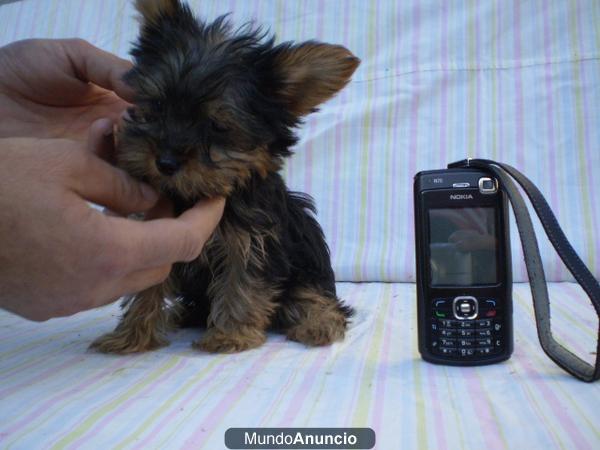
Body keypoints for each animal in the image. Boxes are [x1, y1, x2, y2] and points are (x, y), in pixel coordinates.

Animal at [91, 0, 358, 354]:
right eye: (158, 105)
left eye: (217, 126)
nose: (165, 162)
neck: (189, 194)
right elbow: (148, 284)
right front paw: (131, 335)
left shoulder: (252, 242)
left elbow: (242, 283)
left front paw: (230, 335)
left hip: (308, 269)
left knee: (313, 297)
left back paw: (319, 322)